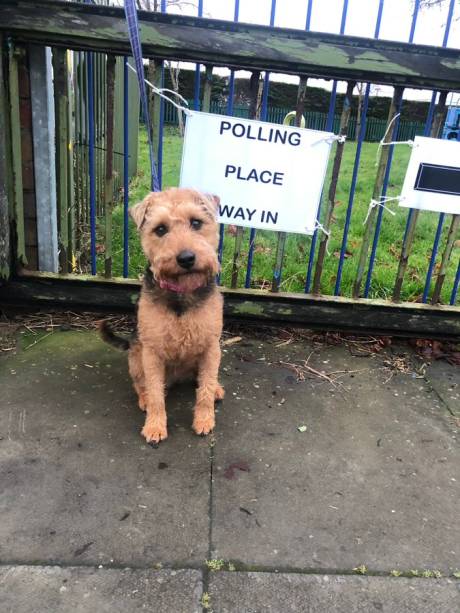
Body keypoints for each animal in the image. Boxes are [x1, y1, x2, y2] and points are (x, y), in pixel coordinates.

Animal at [101, 189, 225, 442]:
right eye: (160, 229)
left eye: (196, 222)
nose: (186, 258)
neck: (181, 293)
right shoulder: (152, 352)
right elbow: (157, 395)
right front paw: (155, 427)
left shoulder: (211, 346)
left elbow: (205, 389)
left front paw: (204, 421)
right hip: (136, 358)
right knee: (142, 386)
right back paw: (145, 400)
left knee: (204, 380)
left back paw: (217, 388)